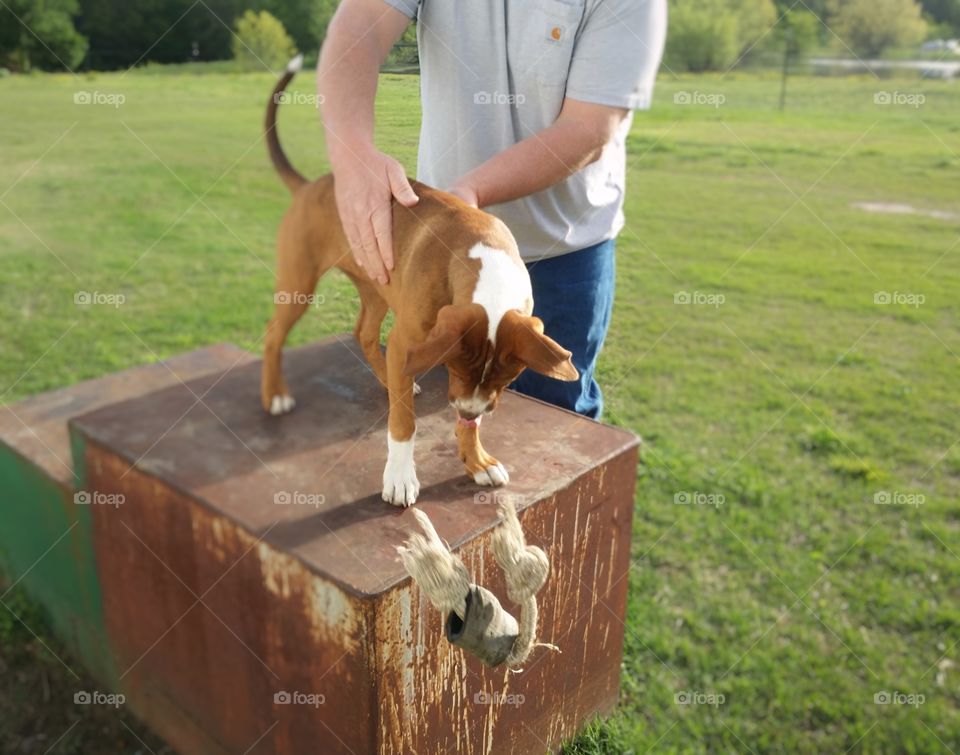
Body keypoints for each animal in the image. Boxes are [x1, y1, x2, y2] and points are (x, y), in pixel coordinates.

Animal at [260, 57, 576, 508]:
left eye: (506, 380)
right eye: (454, 366)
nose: (469, 412)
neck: (485, 261)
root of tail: (312, 186)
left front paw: (476, 458)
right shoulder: (413, 340)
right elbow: (403, 423)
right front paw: (399, 477)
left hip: (376, 286)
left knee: (366, 334)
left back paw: (387, 380)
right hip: (299, 283)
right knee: (275, 334)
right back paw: (276, 394)